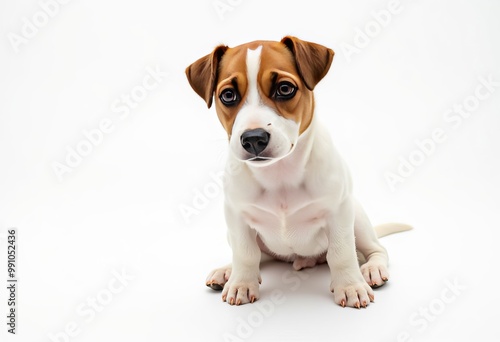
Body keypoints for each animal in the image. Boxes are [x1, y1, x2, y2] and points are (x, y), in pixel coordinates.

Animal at [185, 36, 410, 308]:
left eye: (284, 89)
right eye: (228, 95)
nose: (253, 139)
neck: (279, 173)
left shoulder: (339, 213)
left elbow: (341, 252)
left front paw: (350, 286)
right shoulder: (236, 216)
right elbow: (245, 253)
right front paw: (241, 283)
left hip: (357, 219)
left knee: (376, 249)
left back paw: (371, 269)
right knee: (260, 256)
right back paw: (226, 271)